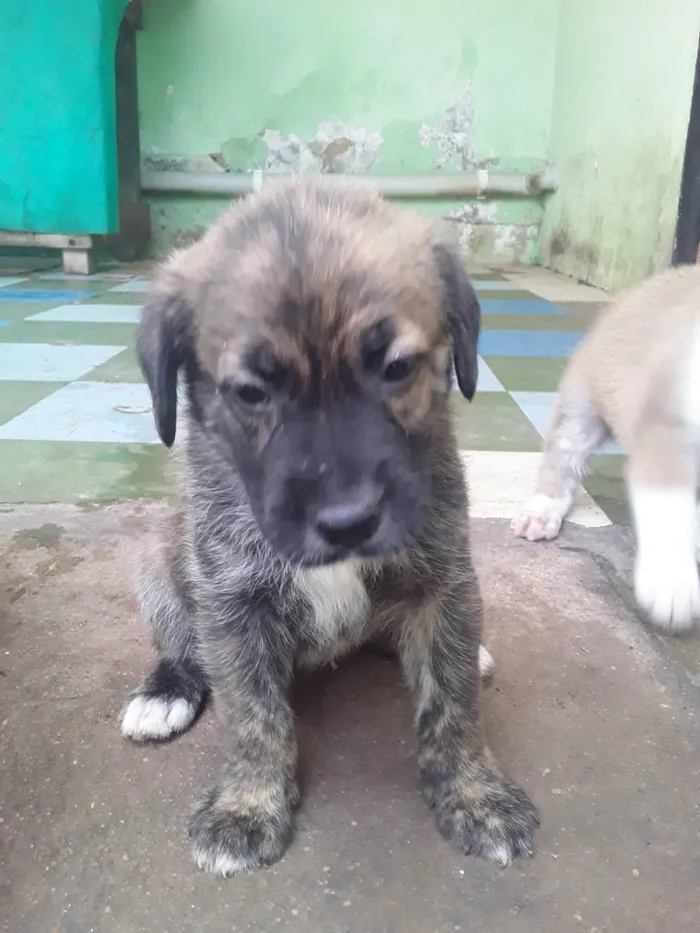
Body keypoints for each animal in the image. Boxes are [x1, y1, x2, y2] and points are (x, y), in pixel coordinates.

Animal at [120, 175, 540, 872]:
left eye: (397, 368)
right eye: (251, 393)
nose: (348, 522)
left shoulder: (444, 578)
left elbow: (452, 703)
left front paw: (474, 796)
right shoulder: (232, 603)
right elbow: (253, 715)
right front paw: (248, 806)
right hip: (158, 565)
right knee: (182, 645)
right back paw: (166, 691)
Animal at [512, 266, 700, 636]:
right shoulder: (665, 429)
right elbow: (670, 505)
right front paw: (672, 582)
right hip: (580, 410)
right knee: (561, 465)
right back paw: (541, 512)